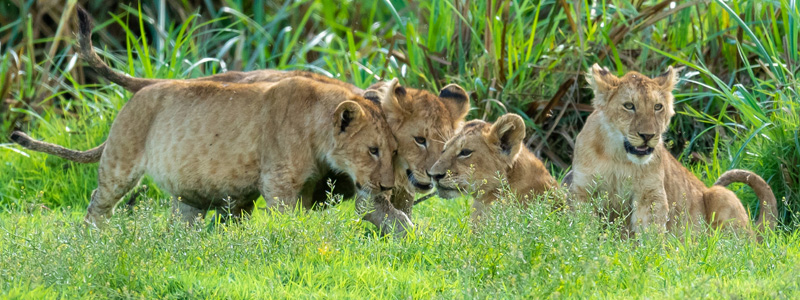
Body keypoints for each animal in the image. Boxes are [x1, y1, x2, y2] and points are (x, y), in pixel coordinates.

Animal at [10, 75, 404, 232]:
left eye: (394, 151)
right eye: (372, 150)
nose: (386, 188)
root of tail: (136, 95)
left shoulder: (305, 186)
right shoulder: (278, 184)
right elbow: (286, 222)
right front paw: (289, 240)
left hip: (188, 193)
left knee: (180, 221)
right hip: (120, 162)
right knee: (98, 202)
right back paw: (93, 237)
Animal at [572, 63, 780, 237]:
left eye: (658, 107)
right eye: (629, 106)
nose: (647, 135)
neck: (619, 157)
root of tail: (756, 234)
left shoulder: (650, 194)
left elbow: (651, 233)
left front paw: (648, 255)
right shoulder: (583, 190)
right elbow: (582, 225)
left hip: (720, 194)